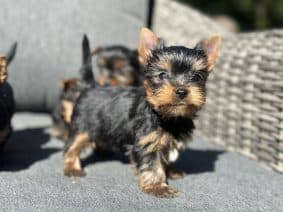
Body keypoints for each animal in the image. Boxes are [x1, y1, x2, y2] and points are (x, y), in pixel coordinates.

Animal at [63, 27, 221, 197]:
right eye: (162, 74)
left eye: (197, 76)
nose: (181, 91)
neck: (168, 116)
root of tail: (92, 85)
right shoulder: (146, 142)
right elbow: (151, 165)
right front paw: (157, 186)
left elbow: (166, 159)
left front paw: (170, 172)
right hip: (81, 126)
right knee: (72, 146)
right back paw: (72, 167)